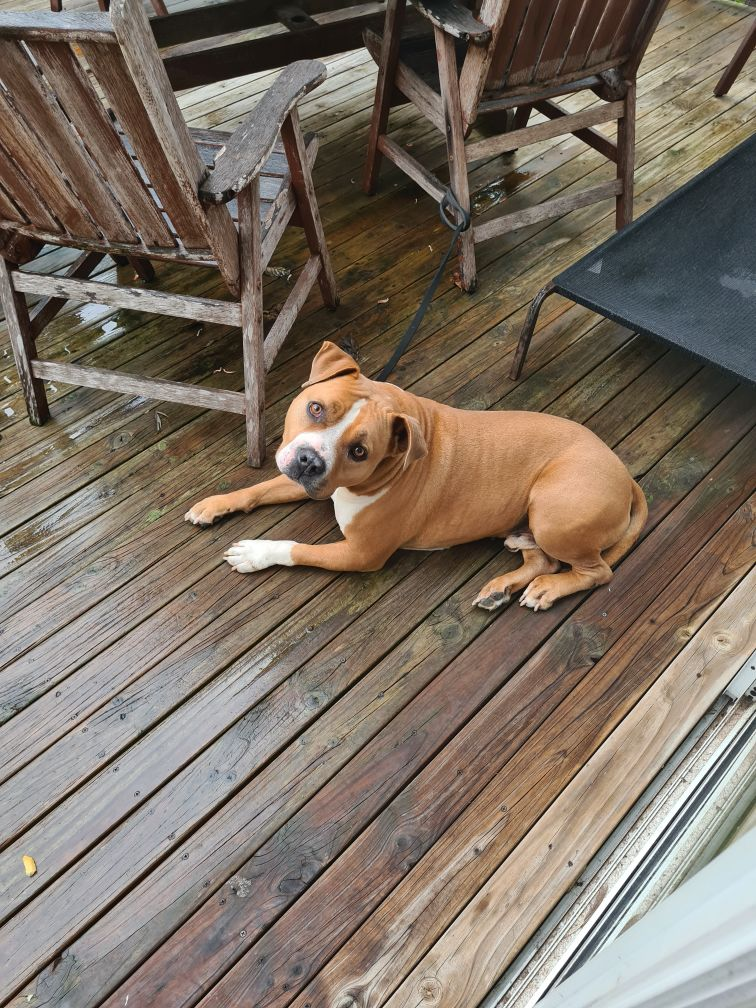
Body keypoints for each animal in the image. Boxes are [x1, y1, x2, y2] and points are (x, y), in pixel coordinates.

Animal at [185, 341, 647, 612]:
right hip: (533, 520)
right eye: (315, 408)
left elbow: (297, 549)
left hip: (553, 510)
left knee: (595, 571)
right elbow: (260, 488)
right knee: (543, 559)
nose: (309, 462)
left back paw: (549, 589)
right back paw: (502, 586)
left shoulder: (361, 554)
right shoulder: (306, 483)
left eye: (359, 451)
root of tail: (625, 475)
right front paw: (214, 504)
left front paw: (257, 552)